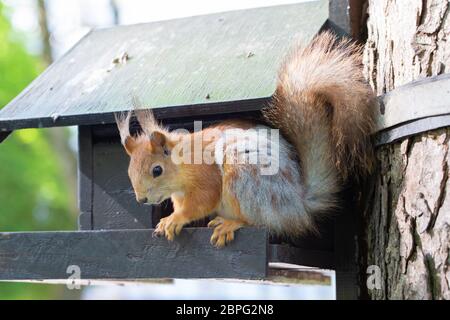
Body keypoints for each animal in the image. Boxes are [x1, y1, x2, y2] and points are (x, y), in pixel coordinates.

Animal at [114, 31, 374, 248]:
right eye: (128, 172)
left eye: (157, 170)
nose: (141, 199)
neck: (181, 169)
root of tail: (298, 205)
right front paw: (166, 220)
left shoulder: (205, 175)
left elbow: (203, 201)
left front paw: (176, 218)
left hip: (247, 178)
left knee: (265, 222)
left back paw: (231, 224)